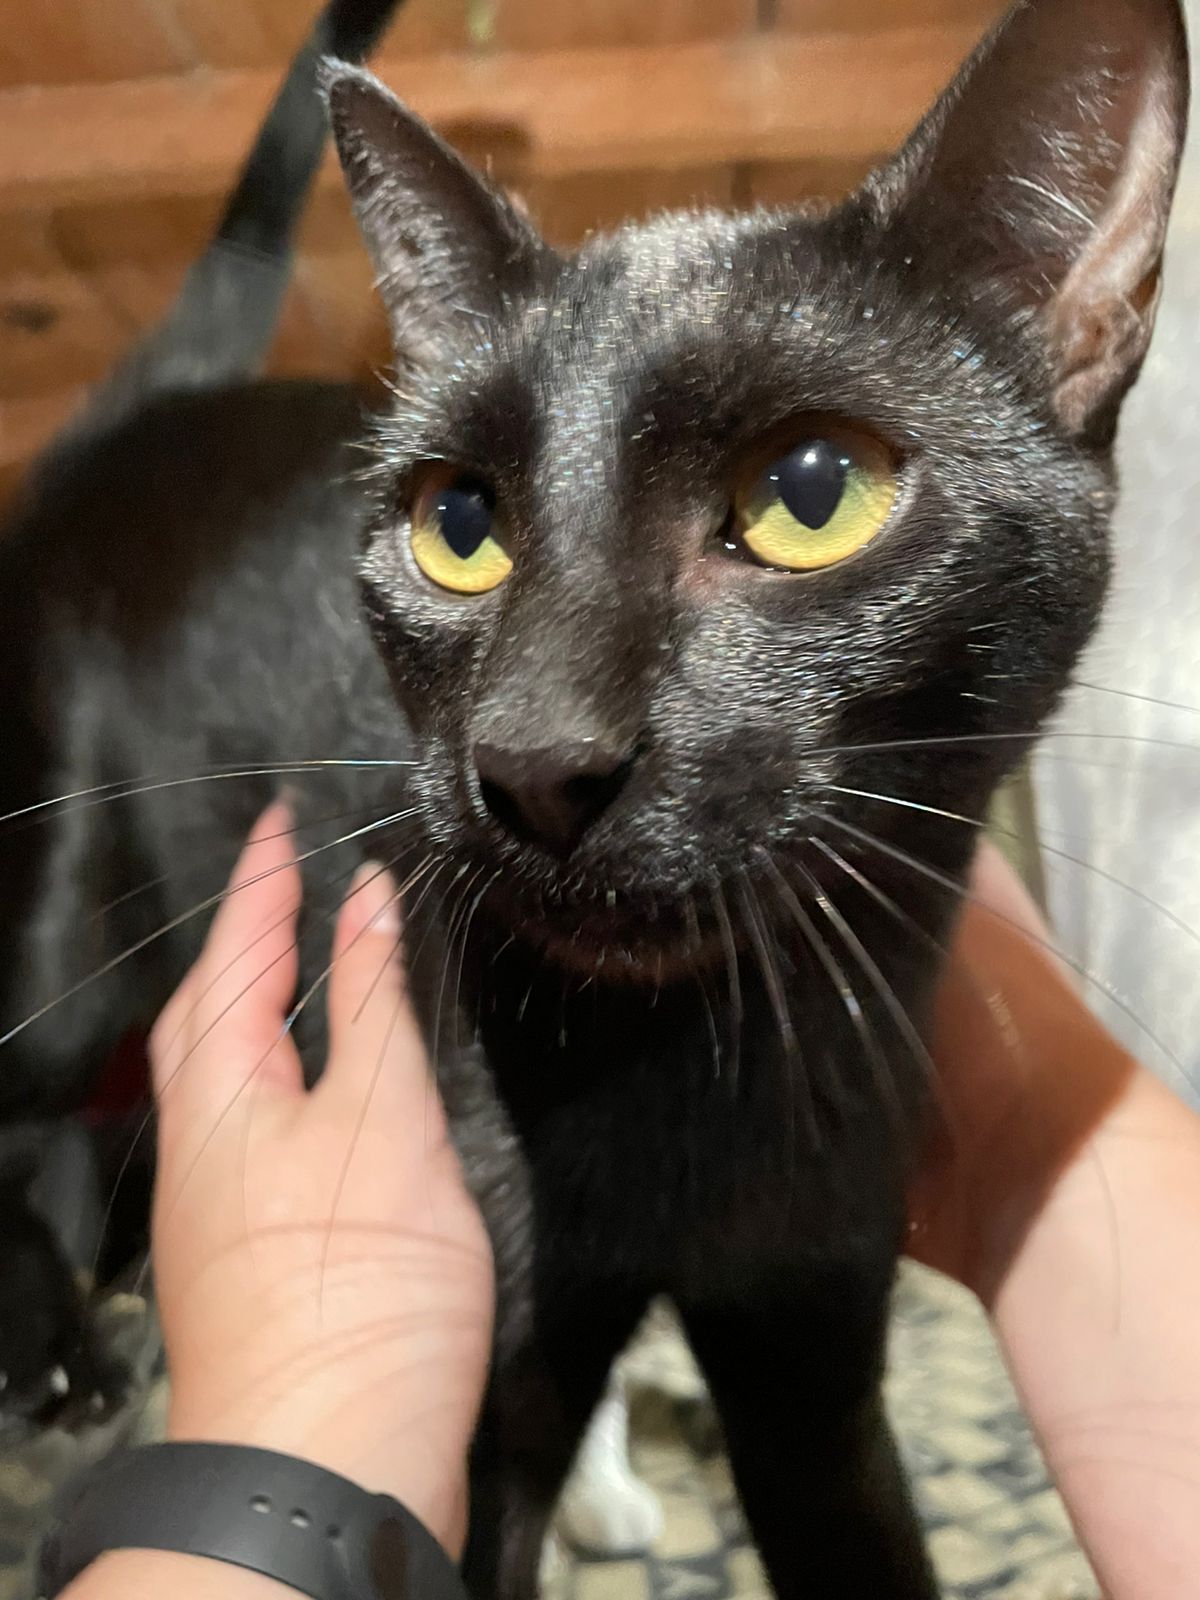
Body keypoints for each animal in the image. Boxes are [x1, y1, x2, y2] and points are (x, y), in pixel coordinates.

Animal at [0, 0, 1188, 1595]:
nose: (535, 761)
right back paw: (63, 1352)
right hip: (67, 918)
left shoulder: (812, 1357)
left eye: (815, 492)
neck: (687, 1078)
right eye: (456, 524)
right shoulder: (493, 1404)